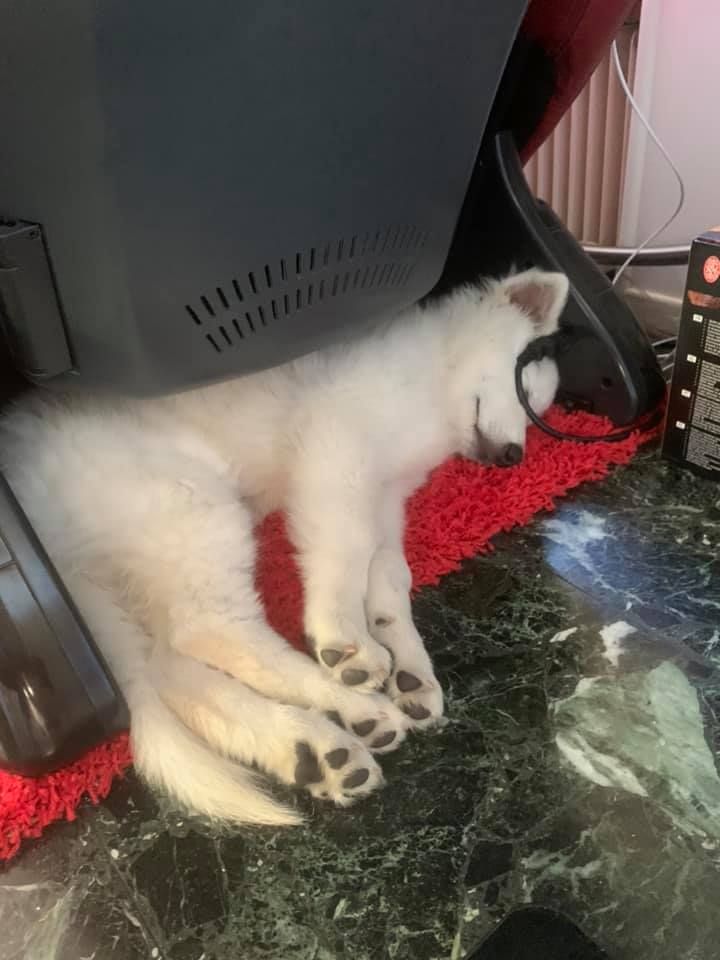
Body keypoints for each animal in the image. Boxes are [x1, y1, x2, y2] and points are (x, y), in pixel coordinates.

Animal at [0, 267, 568, 825]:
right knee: (211, 630)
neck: (431, 388)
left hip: (151, 556)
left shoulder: (386, 497)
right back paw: (347, 702)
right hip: (188, 504)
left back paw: (314, 747)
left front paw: (409, 665)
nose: (514, 457)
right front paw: (345, 635)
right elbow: (350, 549)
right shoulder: (336, 450)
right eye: (523, 387)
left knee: (172, 665)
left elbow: (390, 573)